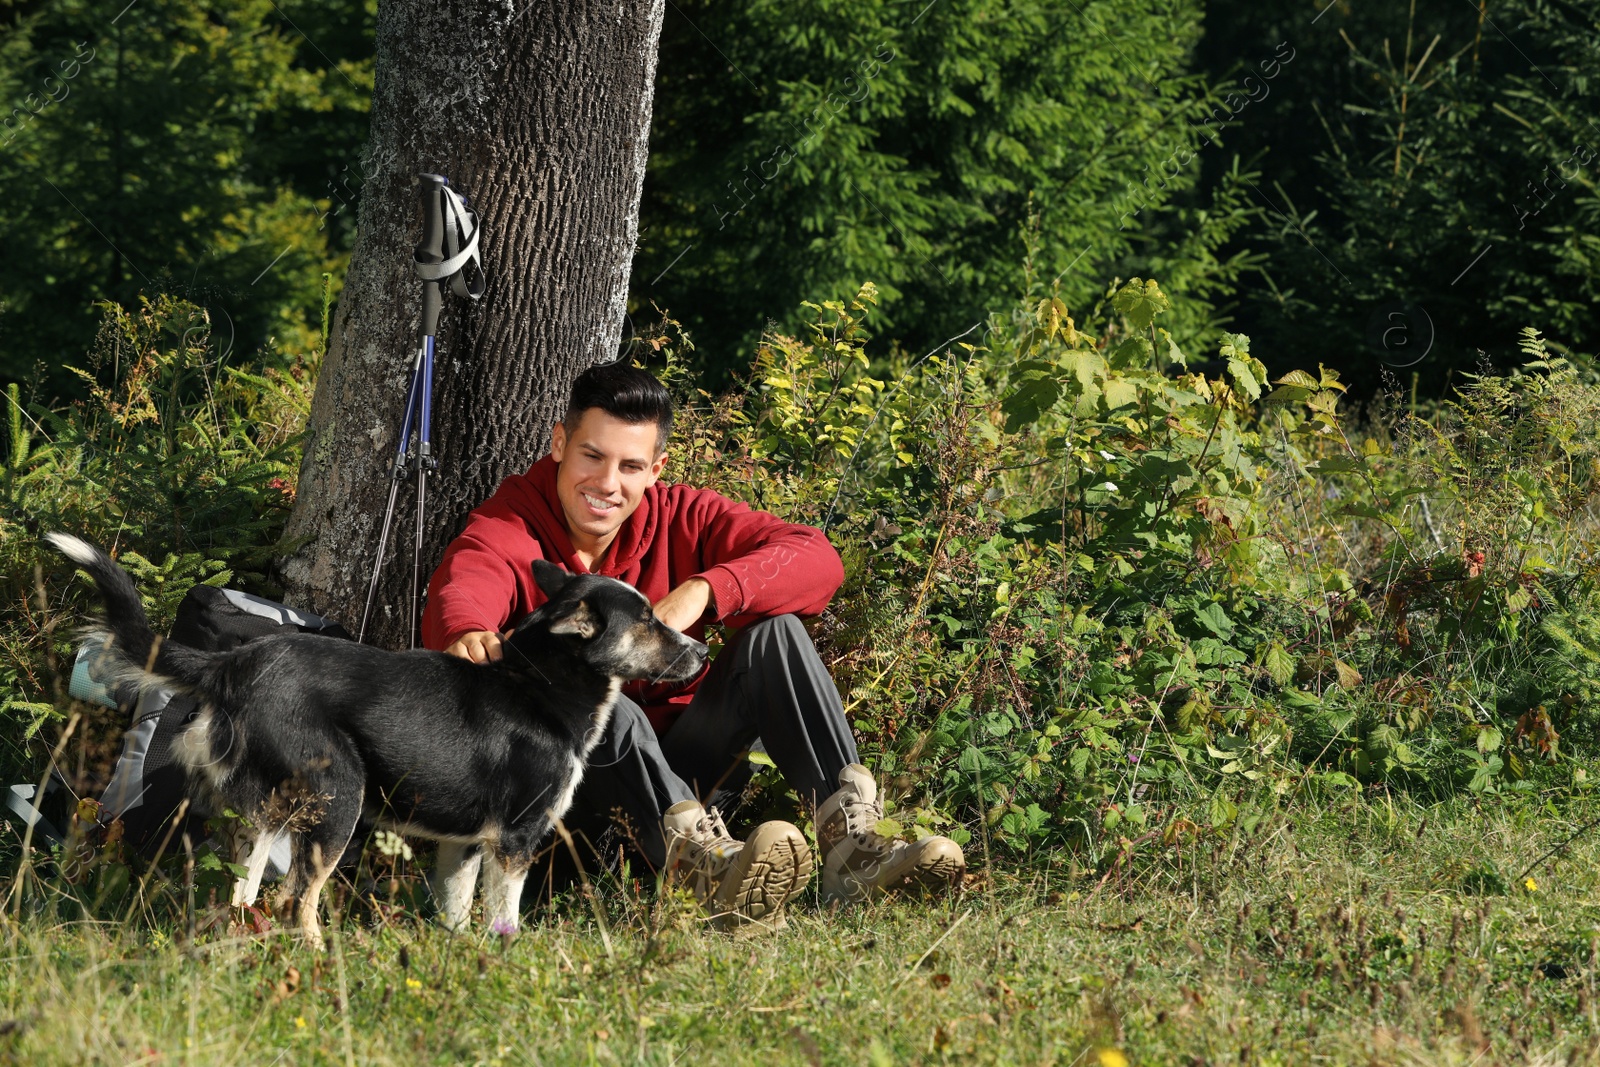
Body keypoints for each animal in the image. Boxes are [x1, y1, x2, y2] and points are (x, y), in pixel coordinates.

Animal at [50, 531, 707, 940]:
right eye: (648, 621)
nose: (702, 652)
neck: (541, 684)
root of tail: (231, 664)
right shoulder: (516, 840)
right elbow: (505, 920)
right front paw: (504, 960)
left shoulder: (467, 845)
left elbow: (456, 913)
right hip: (340, 800)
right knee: (296, 901)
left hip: (259, 817)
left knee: (244, 896)